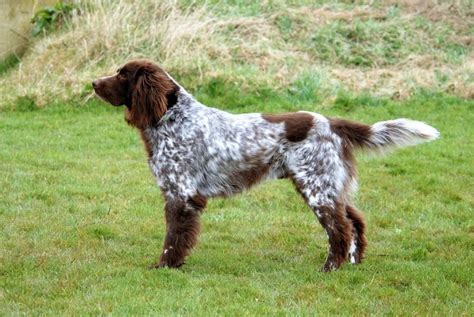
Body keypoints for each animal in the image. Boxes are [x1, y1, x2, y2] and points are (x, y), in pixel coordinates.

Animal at [93, 58, 440, 270]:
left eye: (123, 74)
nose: (94, 83)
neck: (172, 119)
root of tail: (331, 122)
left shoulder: (182, 195)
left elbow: (173, 239)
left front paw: (165, 266)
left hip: (317, 188)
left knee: (339, 229)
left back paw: (330, 268)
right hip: (331, 185)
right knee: (354, 222)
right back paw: (353, 263)